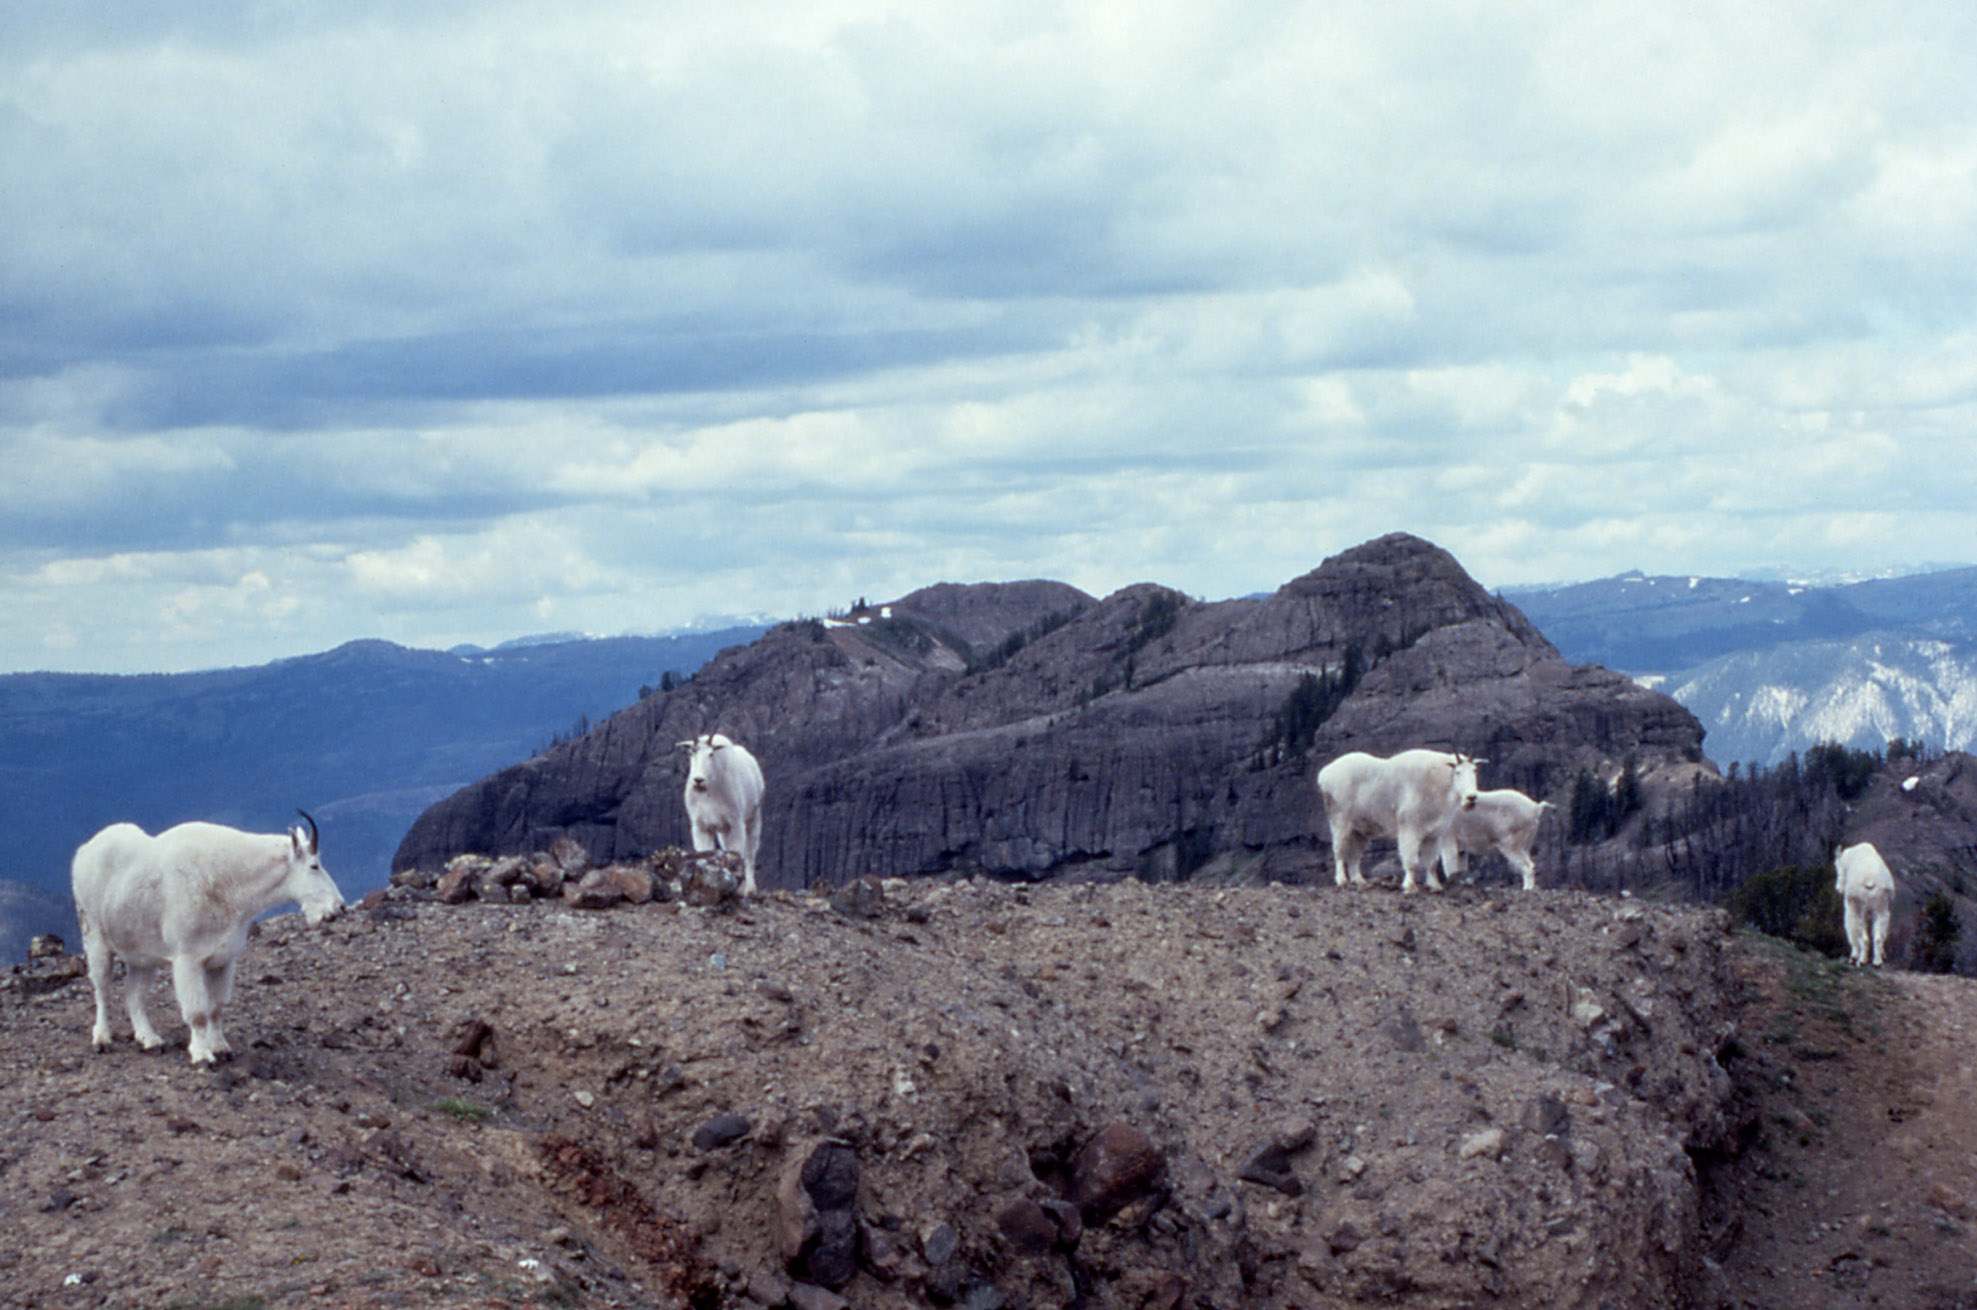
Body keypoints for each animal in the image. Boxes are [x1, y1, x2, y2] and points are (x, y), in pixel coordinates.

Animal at [71, 814, 343, 1074]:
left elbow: (217, 1007)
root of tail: (82, 852)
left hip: (142, 955)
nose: (338, 908)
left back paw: (150, 1040)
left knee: (134, 996)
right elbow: (198, 1013)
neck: (231, 879)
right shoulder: (187, 959)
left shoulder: (224, 960)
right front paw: (202, 1055)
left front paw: (221, 1048)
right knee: (102, 990)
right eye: (314, 866)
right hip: (94, 936)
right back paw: (102, 1038)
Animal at [684, 731, 767, 897]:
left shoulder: (736, 823)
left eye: (711, 754)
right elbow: (705, 852)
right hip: (723, 830)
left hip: (753, 818)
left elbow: (737, 852)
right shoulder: (701, 826)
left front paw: (739, 888)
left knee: (750, 853)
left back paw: (750, 888)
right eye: (692, 753)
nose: (698, 780)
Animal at [1320, 754, 1478, 897]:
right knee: (1339, 851)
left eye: (1474, 771)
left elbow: (1432, 862)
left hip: (1360, 829)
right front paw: (1409, 887)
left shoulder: (1434, 834)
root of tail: (1324, 774)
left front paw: (1434, 886)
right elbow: (1411, 859)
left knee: (1355, 855)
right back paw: (1341, 880)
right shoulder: (1410, 828)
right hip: (1340, 820)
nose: (1471, 797)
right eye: (1458, 772)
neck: (1439, 781)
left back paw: (1360, 881)